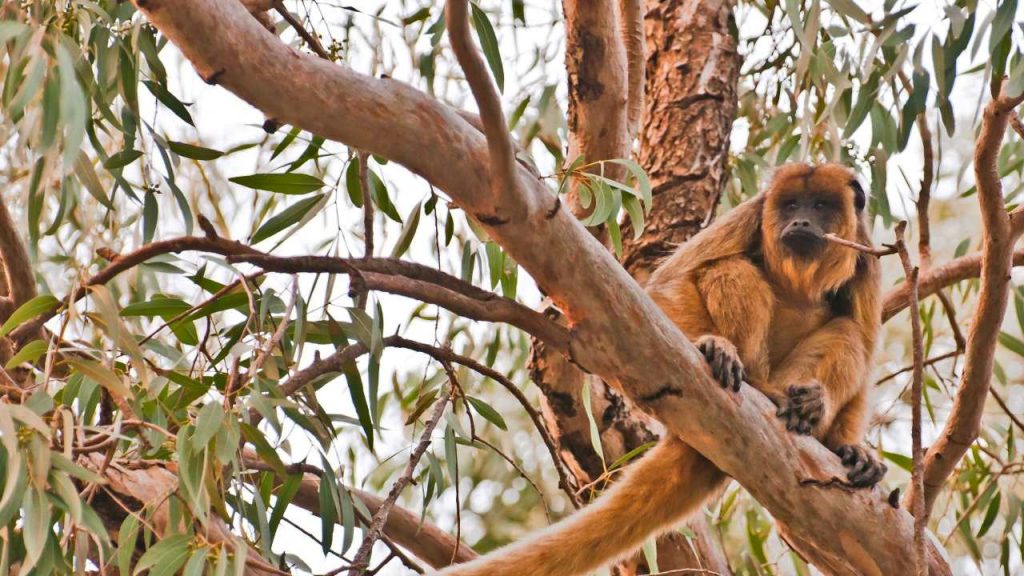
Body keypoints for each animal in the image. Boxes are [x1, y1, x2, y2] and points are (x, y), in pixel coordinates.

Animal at [436, 161, 884, 573]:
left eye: (821, 205)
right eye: (791, 204)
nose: (801, 220)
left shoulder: (866, 255)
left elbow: (864, 344)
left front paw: (848, 446)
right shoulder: (749, 215)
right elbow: (669, 283)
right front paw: (712, 346)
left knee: (848, 332)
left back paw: (811, 413)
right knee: (729, 268)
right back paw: (753, 378)